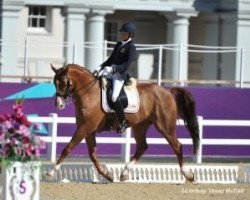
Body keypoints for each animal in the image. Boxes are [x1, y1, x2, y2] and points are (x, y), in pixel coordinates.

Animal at [47, 63, 199, 181]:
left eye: (64, 83)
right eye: (54, 83)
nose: (59, 105)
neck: (89, 94)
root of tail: (167, 91)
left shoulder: (85, 128)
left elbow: (68, 148)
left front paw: (51, 172)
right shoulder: (88, 130)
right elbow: (92, 154)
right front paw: (107, 174)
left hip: (165, 127)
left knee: (177, 146)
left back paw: (188, 175)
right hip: (140, 126)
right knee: (142, 146)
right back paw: (125, 173)